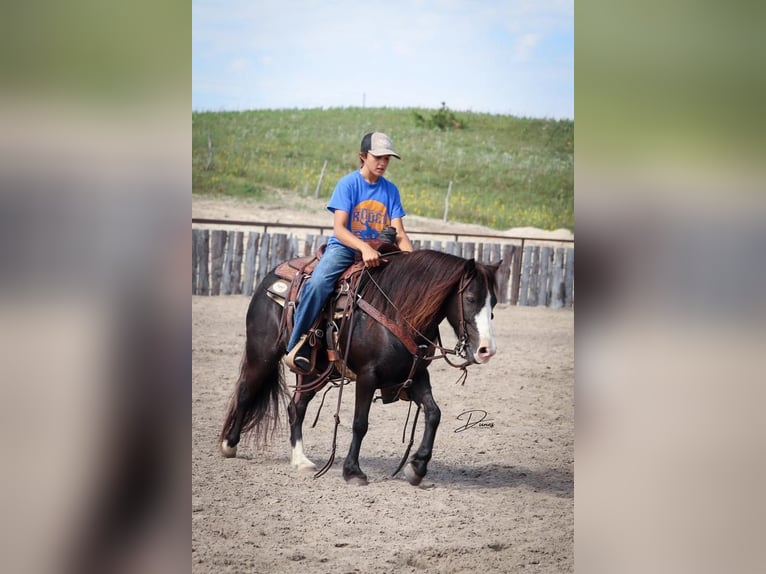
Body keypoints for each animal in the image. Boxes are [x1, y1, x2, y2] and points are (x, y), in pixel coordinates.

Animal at [219, 250, 500, 488]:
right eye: (471, 298)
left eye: (494, 302)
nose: (486, 350)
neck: (398, 312)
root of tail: (270, 277)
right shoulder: (368, 376)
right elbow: (360, 423)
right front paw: (353, 471)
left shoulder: (418, 375)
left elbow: (434, 413)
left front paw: (417, 467)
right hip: (262, 353)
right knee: (246, 391)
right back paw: (229, 445)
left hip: (313, 371)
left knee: (296, 407)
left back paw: (301, 460)